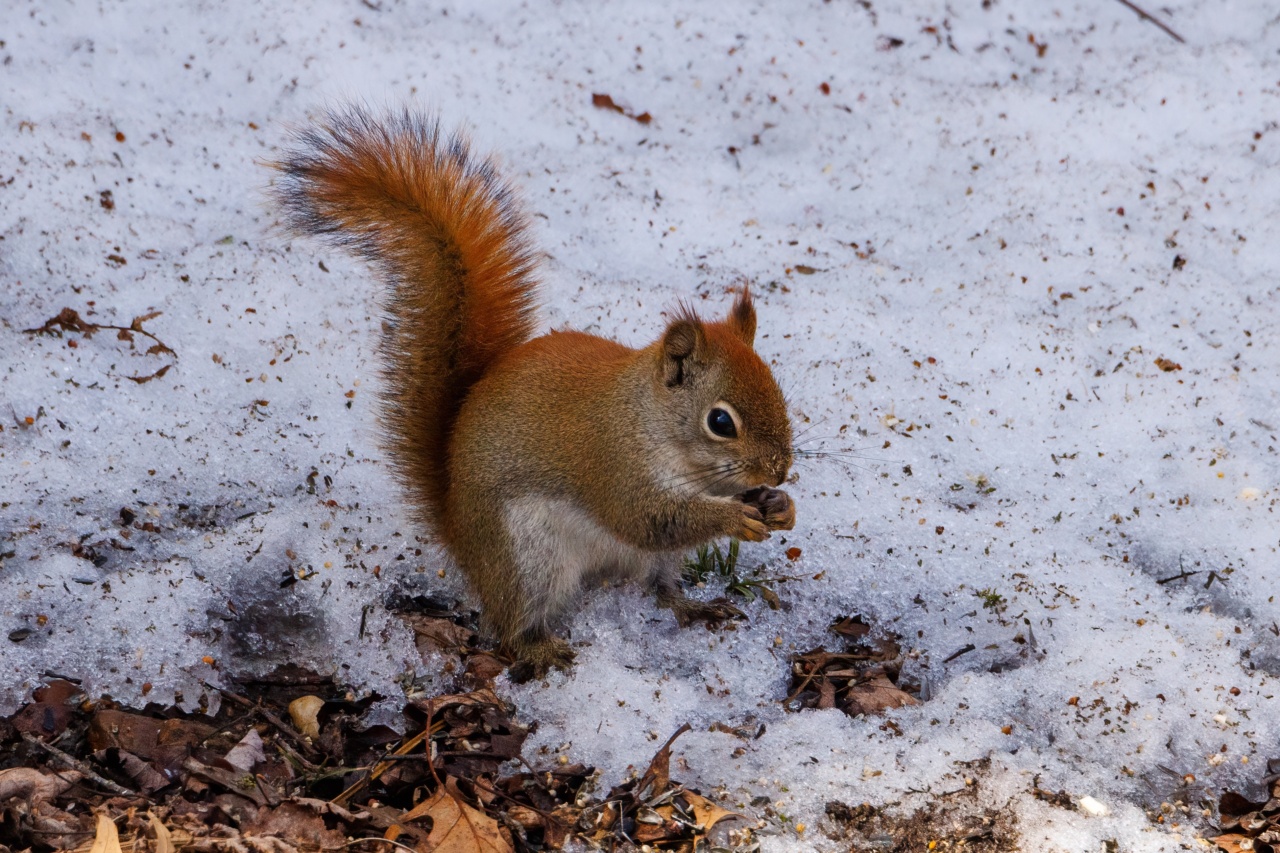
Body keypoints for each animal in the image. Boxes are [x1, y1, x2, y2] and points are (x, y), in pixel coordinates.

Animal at [270, 108, 793, 676]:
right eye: (720, 422)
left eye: (780, 393)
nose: (780, 470)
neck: (651, 422)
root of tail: (460, 533)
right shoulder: (612, 465)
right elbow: (648, 517)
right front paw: (734, 517)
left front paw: (778, 504)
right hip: (528, 555)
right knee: (512, 625)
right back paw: (544, 649)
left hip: (623, 562)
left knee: (659, 587)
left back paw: (694, 608)